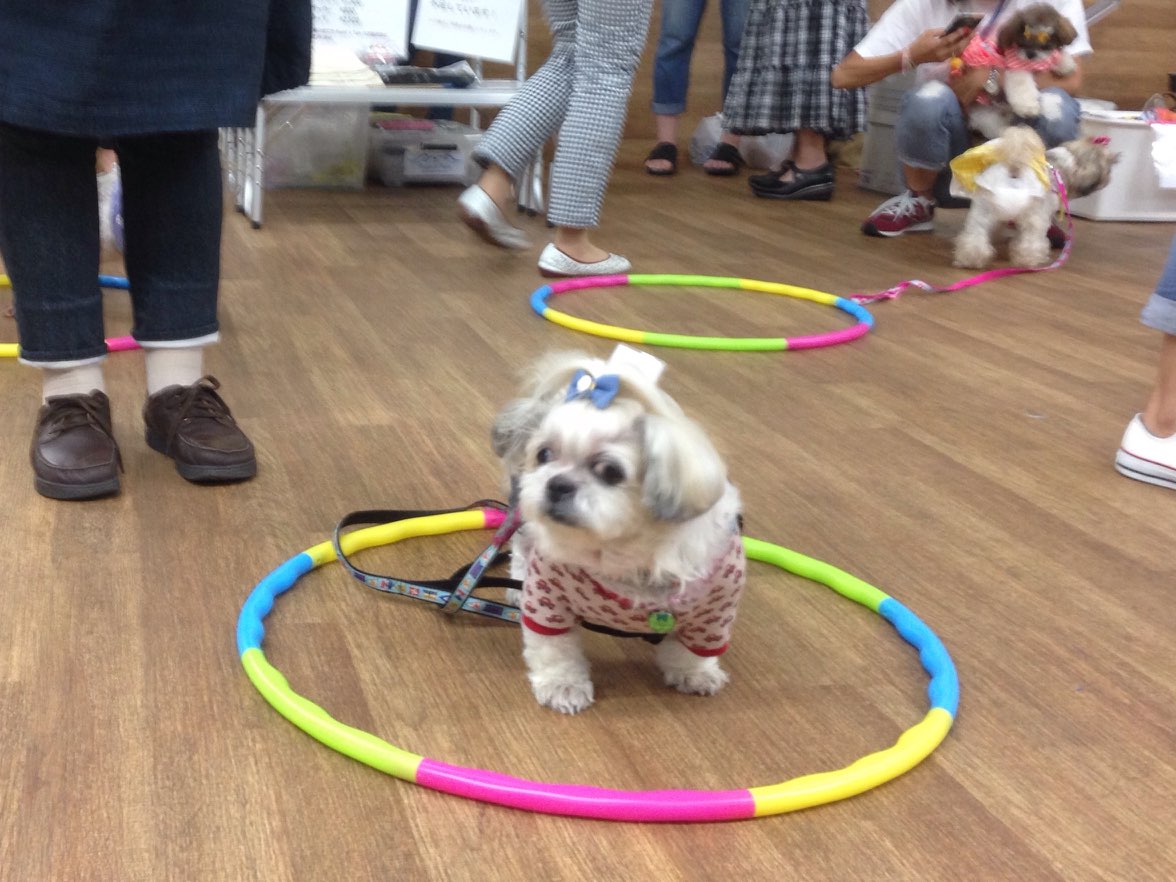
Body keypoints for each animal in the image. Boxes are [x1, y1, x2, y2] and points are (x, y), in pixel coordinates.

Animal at [491, 347, 744, 714]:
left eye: (610, 471)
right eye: (544, 454)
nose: (556, 483)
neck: (624, 551)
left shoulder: (715, 609)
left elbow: (693, 650)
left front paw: (694, 674)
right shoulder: (548, 598)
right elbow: (555, 650)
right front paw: (562, 686)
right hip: (524, 516)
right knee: (522, 548)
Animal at [951, 125, 1118, 269]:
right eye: (1107, 170)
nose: (1108, 178)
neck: (1063, 165)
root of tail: (1014, 170)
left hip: (982, 211)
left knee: (974, 237)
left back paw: (970, 259)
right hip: (1034, 217)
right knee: (1030, 242)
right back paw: (1030, 260)